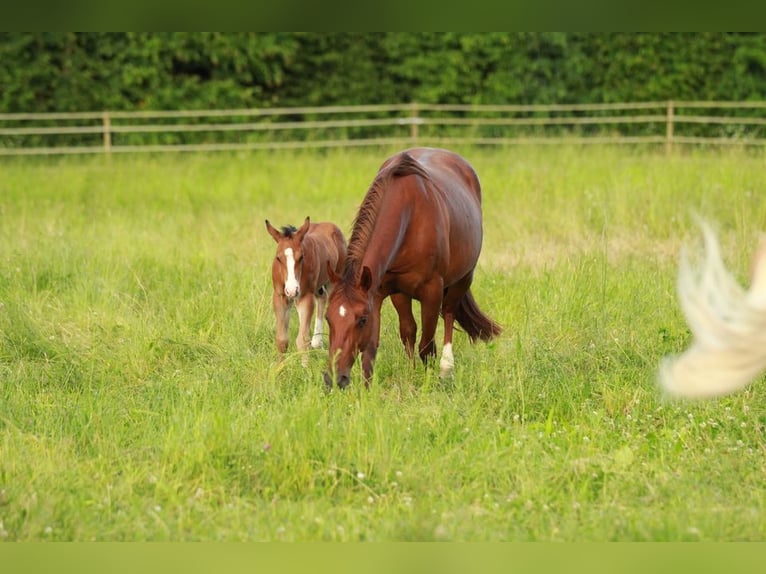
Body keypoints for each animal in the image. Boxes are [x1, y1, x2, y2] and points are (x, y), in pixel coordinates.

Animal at [265, 216, 347, 363]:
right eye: (278, 258)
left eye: (301, 256)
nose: (292, 290)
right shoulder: (280, 297)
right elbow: (281, 339)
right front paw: (279, 367)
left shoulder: (304, 297)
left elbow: (302, 340)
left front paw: (305, 368)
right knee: (322, 297)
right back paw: (317, 342)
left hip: (334, 280)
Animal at [323, 147, 502, 389]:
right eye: (328, 318)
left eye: (361, 320)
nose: (334, 378)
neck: (409, 214)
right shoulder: (382, 292)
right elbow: (379, 346)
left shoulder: (432, 292)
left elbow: (427, 347)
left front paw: (428, 385)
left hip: (463, 279)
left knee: (448, 314)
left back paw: (446, 369)